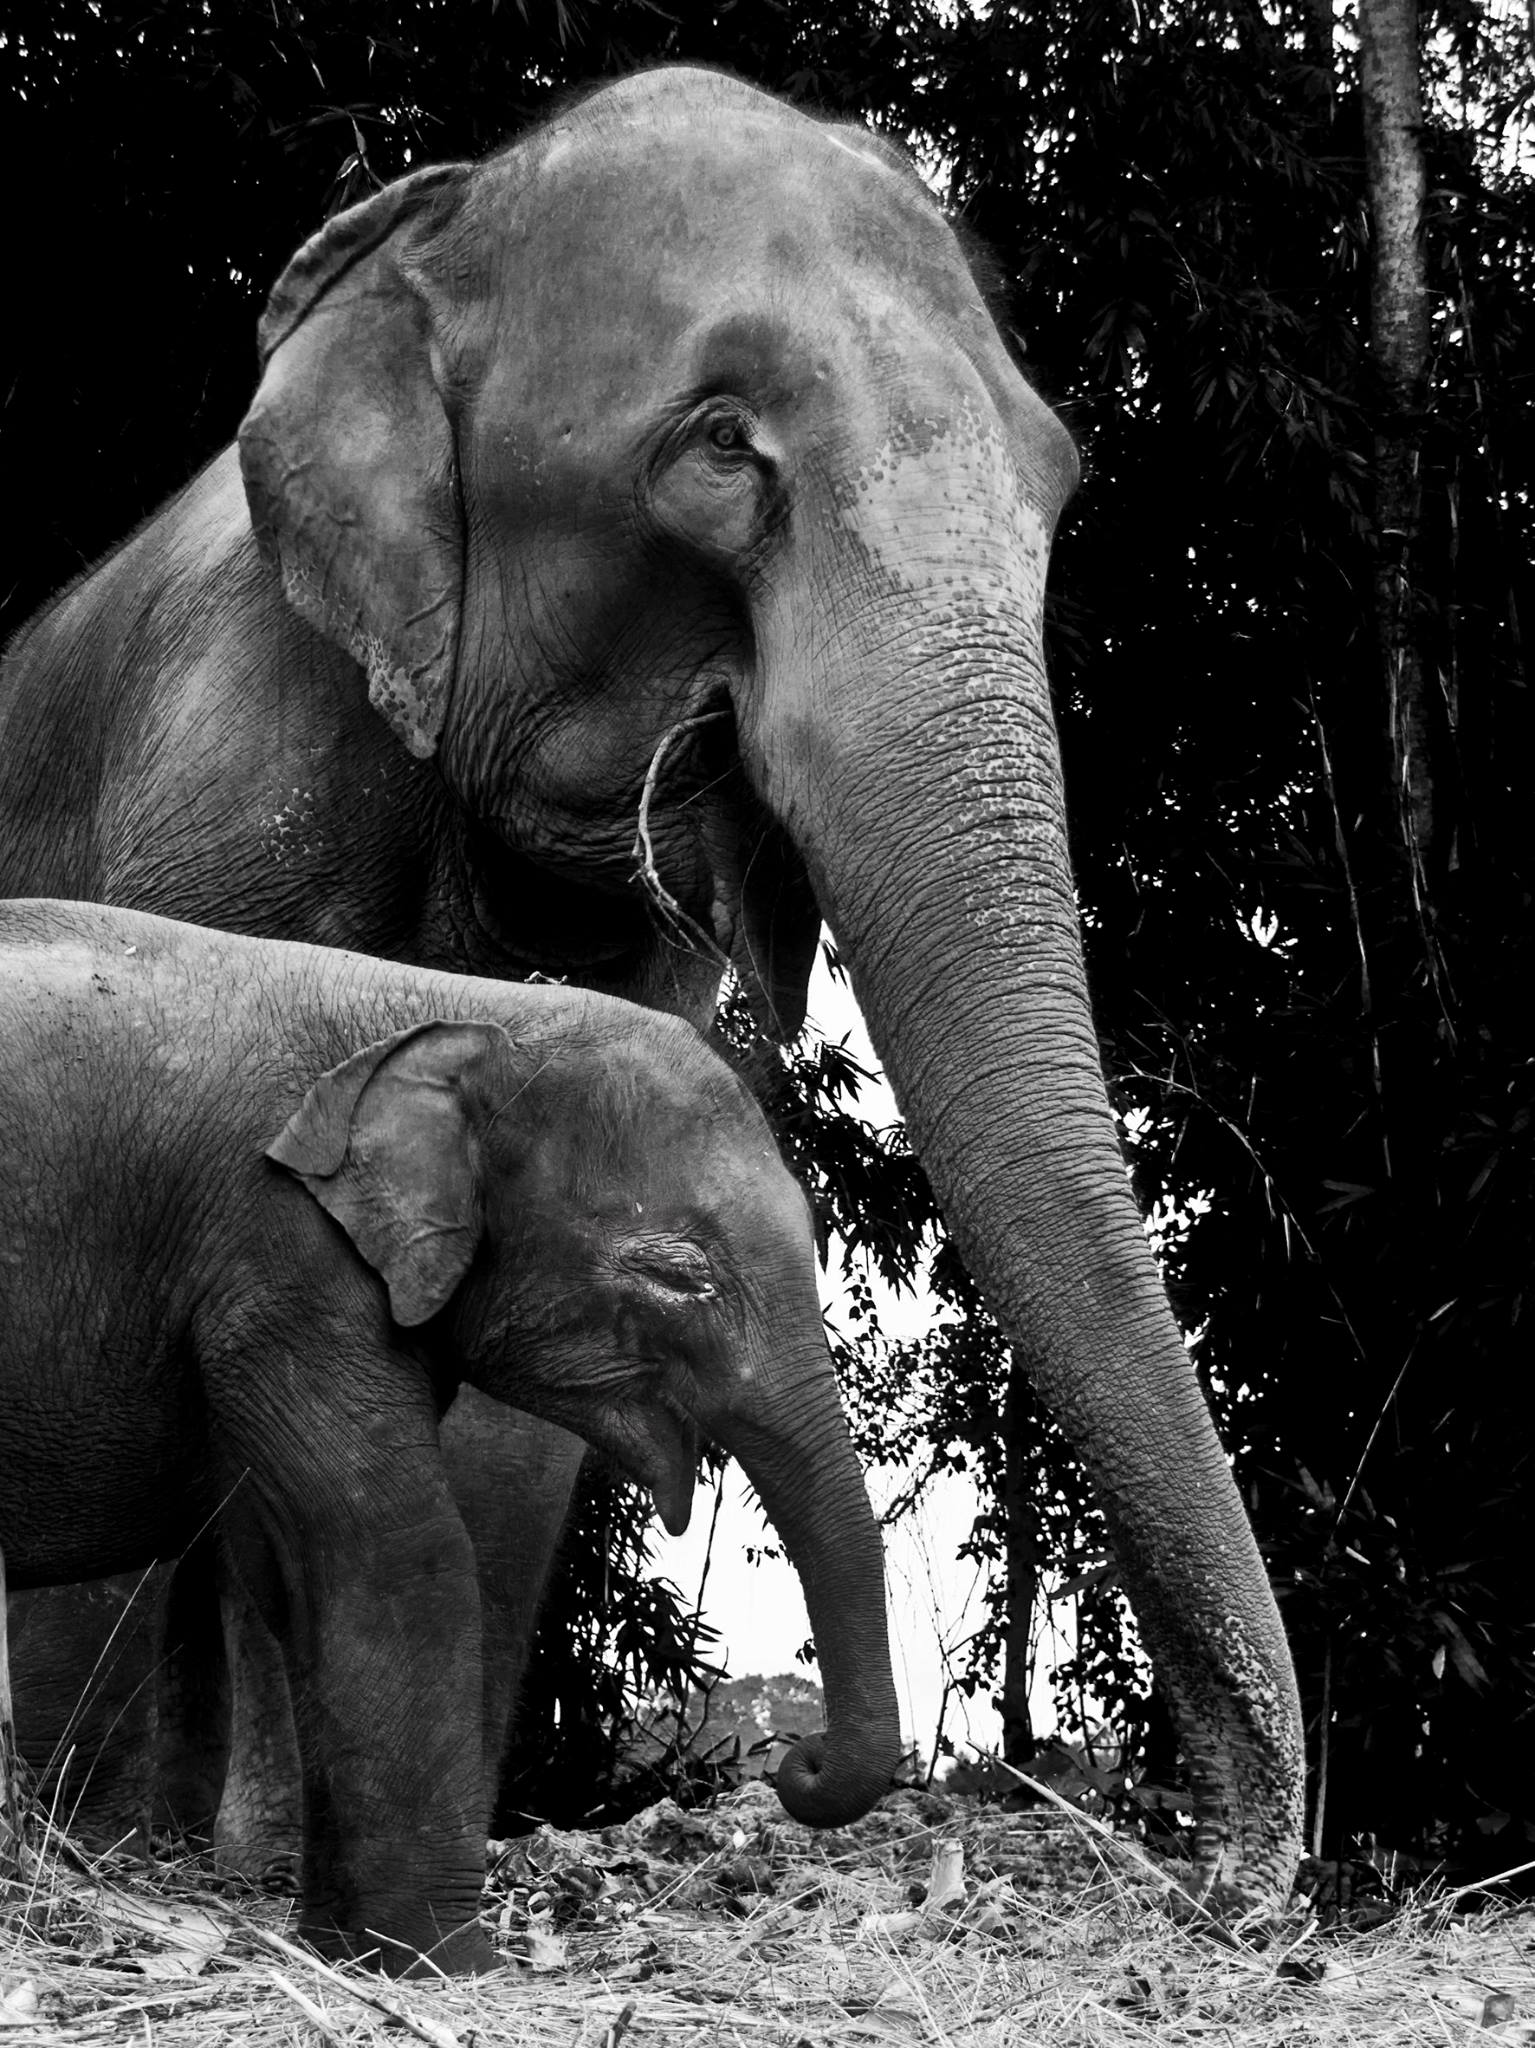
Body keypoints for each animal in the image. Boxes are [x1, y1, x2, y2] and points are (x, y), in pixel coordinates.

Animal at [0, 897, 901, 1971]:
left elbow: (288, 1563)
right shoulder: (282, 1260)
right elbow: (392, 1542)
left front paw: (345, 1951)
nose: (794, 1763)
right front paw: (452, 1964)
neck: (455, 1010)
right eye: (678, 1274)